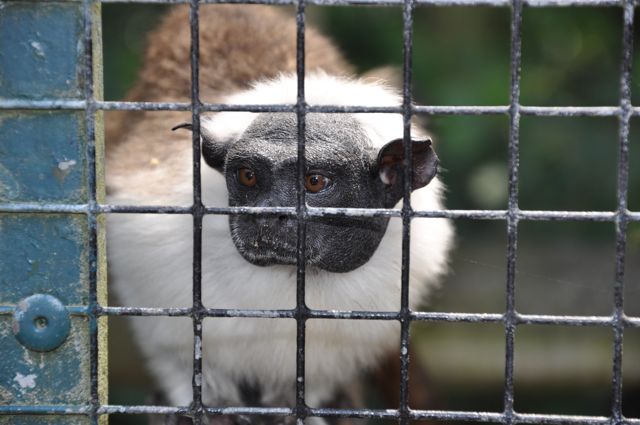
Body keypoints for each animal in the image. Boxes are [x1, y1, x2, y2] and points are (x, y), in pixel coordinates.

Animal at [106, 4, 456, 424]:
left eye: (315, 181)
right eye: (248, 176)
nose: (268, 214)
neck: (292, 277)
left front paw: (297, 406)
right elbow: (173, 356)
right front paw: (203, 401)